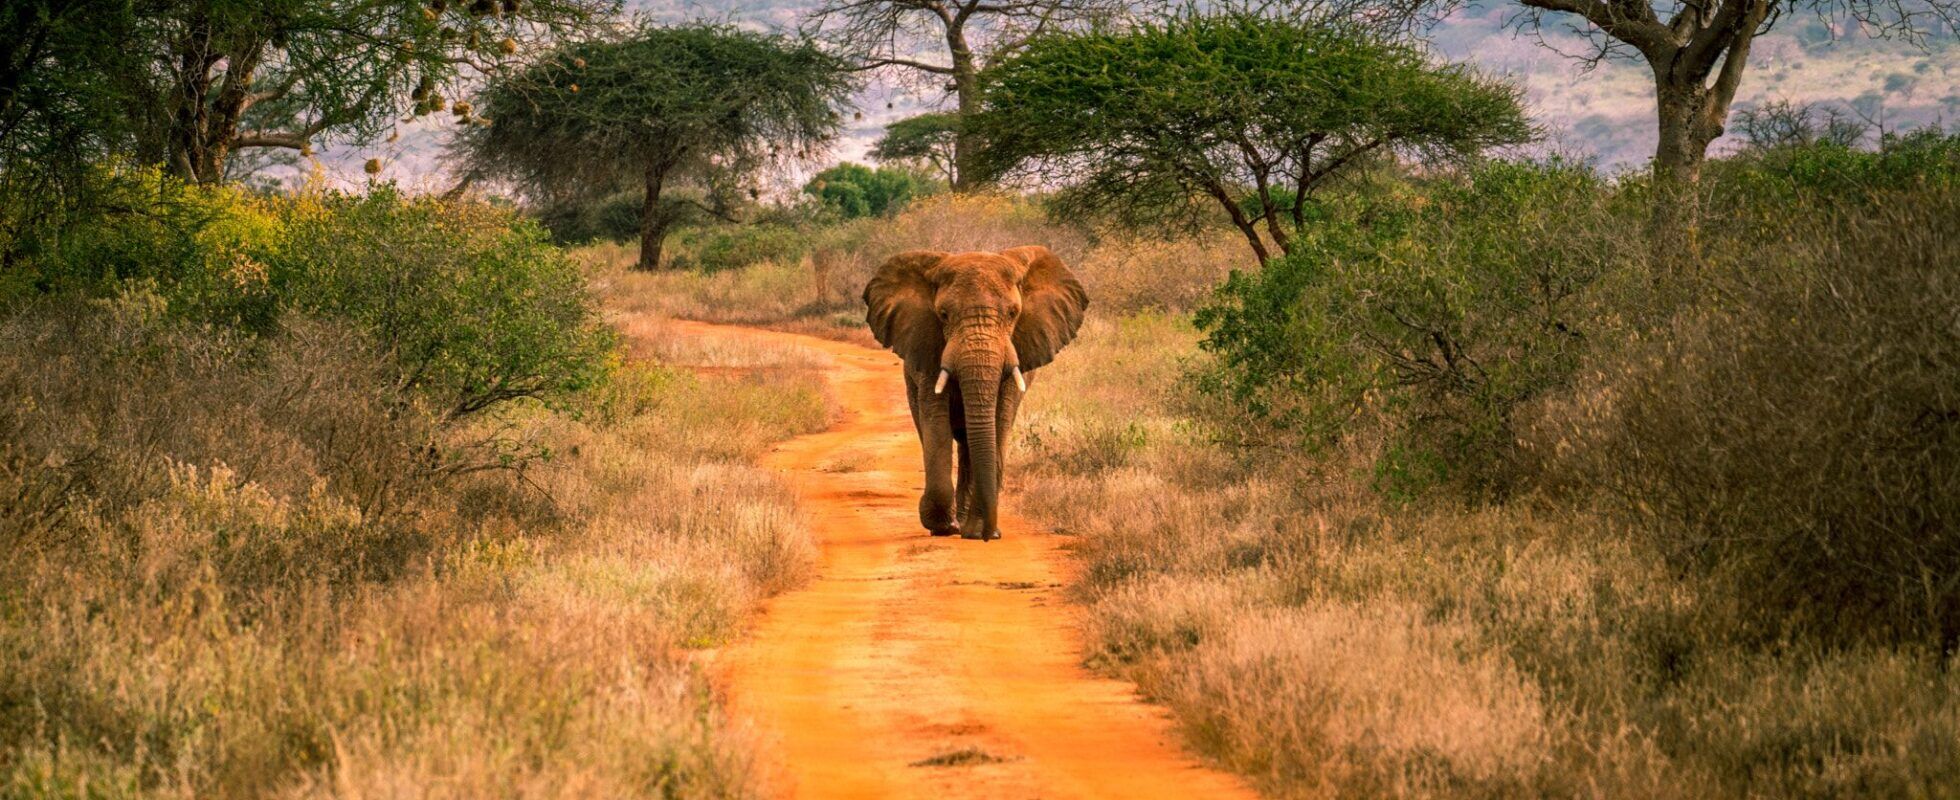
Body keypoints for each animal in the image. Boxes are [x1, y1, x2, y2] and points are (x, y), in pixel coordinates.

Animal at [870, 247, 1097, 541]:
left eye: (1013, 313)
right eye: (943, 314)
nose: (992, 534)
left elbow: (1000, 420)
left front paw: (976, 532)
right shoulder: (929, 349)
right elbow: (936, 419)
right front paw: (943, 527)